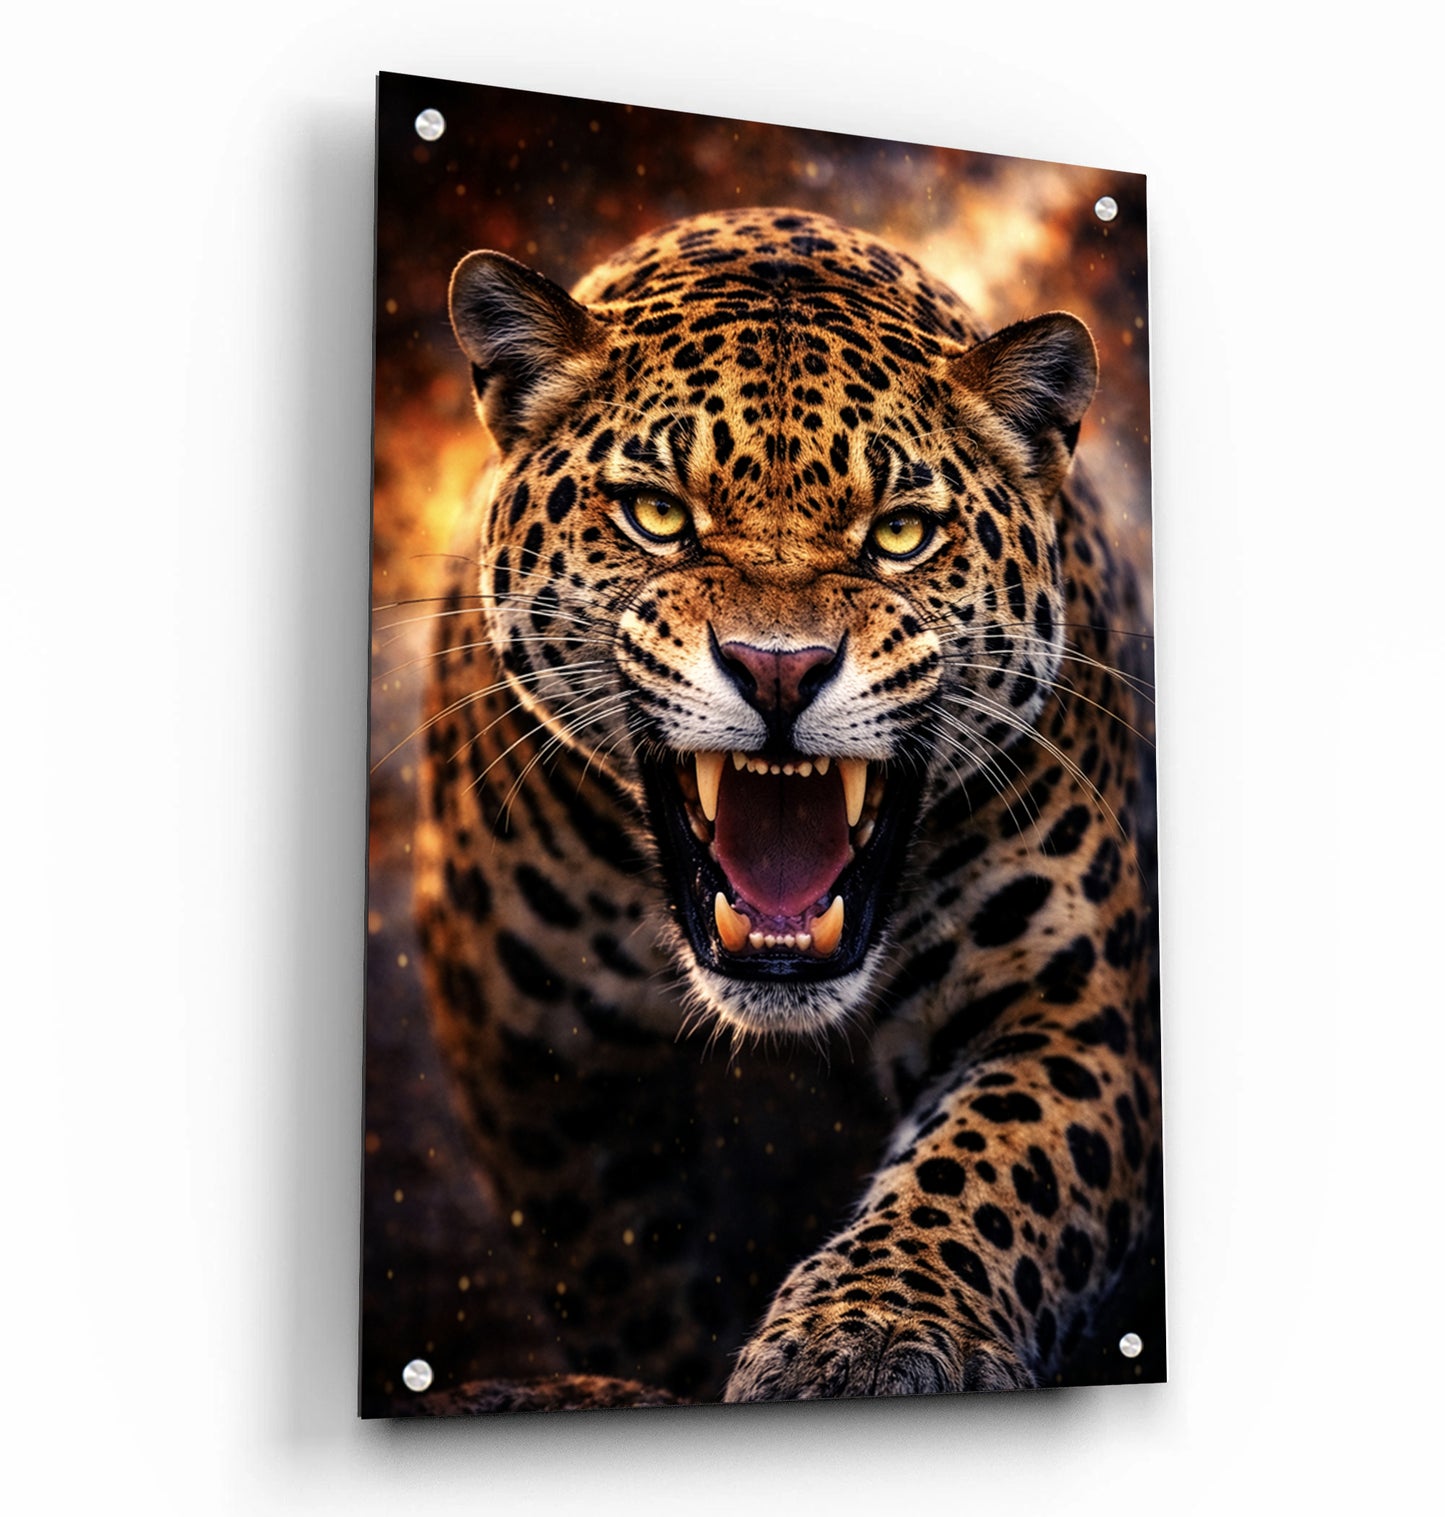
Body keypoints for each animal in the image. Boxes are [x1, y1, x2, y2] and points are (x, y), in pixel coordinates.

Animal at [411, 207, 1161, 1408]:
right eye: (656, 513)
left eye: (899, 532)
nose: (777, 669)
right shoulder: (539, 1059)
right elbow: (623, 1265)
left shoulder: (1072, 1010)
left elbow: (986, 1171)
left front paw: (870, 1335)